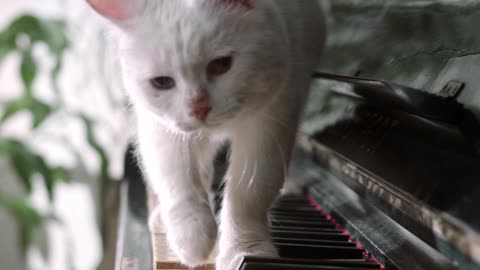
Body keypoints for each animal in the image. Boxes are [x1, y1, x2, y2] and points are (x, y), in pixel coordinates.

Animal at [86, 0, 326, 268]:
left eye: (221, 65)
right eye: (162, 82)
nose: (198, 108)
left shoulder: (271, 121)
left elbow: (249, 196)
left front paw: (246, 250)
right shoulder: (163, 129)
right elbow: (178, 181)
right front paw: (193, 240)